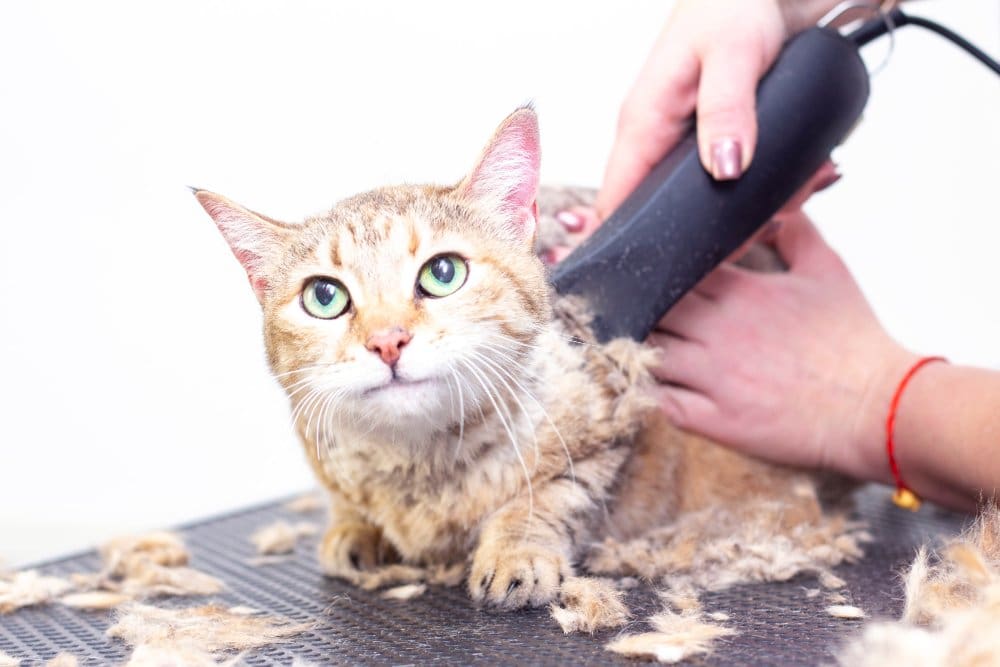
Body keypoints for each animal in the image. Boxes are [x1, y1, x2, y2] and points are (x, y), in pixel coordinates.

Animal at [195, 105, 860, 612]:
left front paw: (515, 550)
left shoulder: (605, 436)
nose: (387, 341)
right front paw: (354, 526)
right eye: (325, 297)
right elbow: (348, 499)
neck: (424, 465)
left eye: (442, 273)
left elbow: (548, 497)